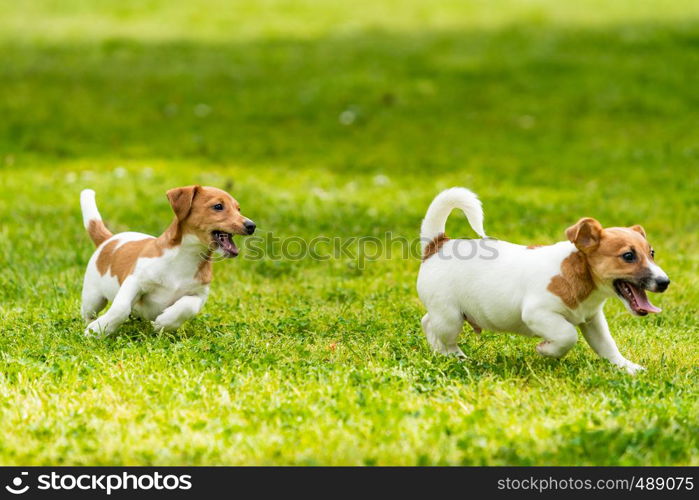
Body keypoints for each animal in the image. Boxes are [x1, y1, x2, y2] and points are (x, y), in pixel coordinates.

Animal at [81, 186, 258, 338]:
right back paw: (92, 324)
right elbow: (120, 308)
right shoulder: (135, 281)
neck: (186, 256)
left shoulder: (199, 295)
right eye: (218, 206)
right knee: (89, 313)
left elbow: (187, 307)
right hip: (92, 297)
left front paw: (165, 323)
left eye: (238, 209)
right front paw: (98, 330)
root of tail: (108, 239)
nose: (252, 225)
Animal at [418, 188, 668, 376]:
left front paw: (627, 367)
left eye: (652, 253)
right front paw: (546, 350)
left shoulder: (592, 320)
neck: (576, 274)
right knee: (434, 328)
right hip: (450, 316)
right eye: (628, 256)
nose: (665, 282)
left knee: (427, 322)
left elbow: (607, 345)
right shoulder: (538, 313)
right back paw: (452, 357)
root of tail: (437, 244)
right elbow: (568, 335)